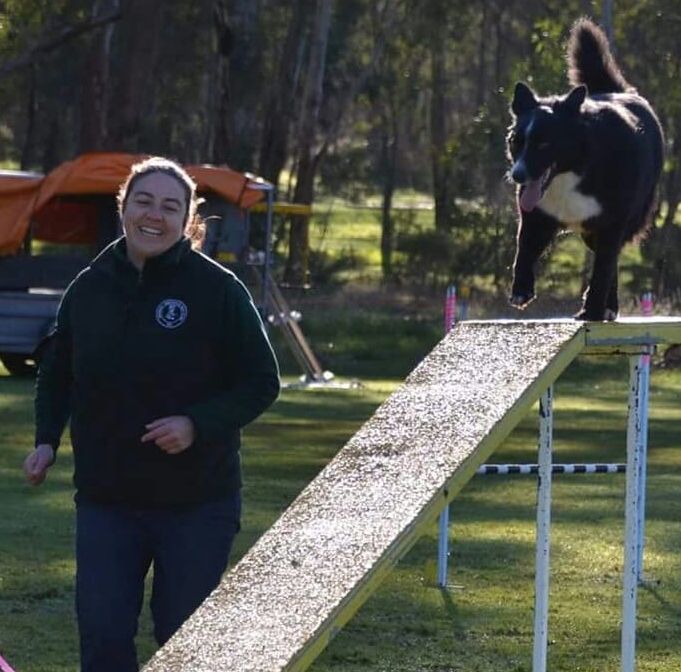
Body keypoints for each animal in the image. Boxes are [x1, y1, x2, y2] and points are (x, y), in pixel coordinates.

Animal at [508, 16, 660, 320]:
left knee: (609, 260)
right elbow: (524, 248)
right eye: (517, 142)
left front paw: (591, 311)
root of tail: (616, 90)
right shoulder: (537, 215)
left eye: (544, 144)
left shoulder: (613, 223)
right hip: (591, 232)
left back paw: (605, 307)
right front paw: (521, 290)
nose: (517, 175)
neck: (574, 170)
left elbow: (602, 270)